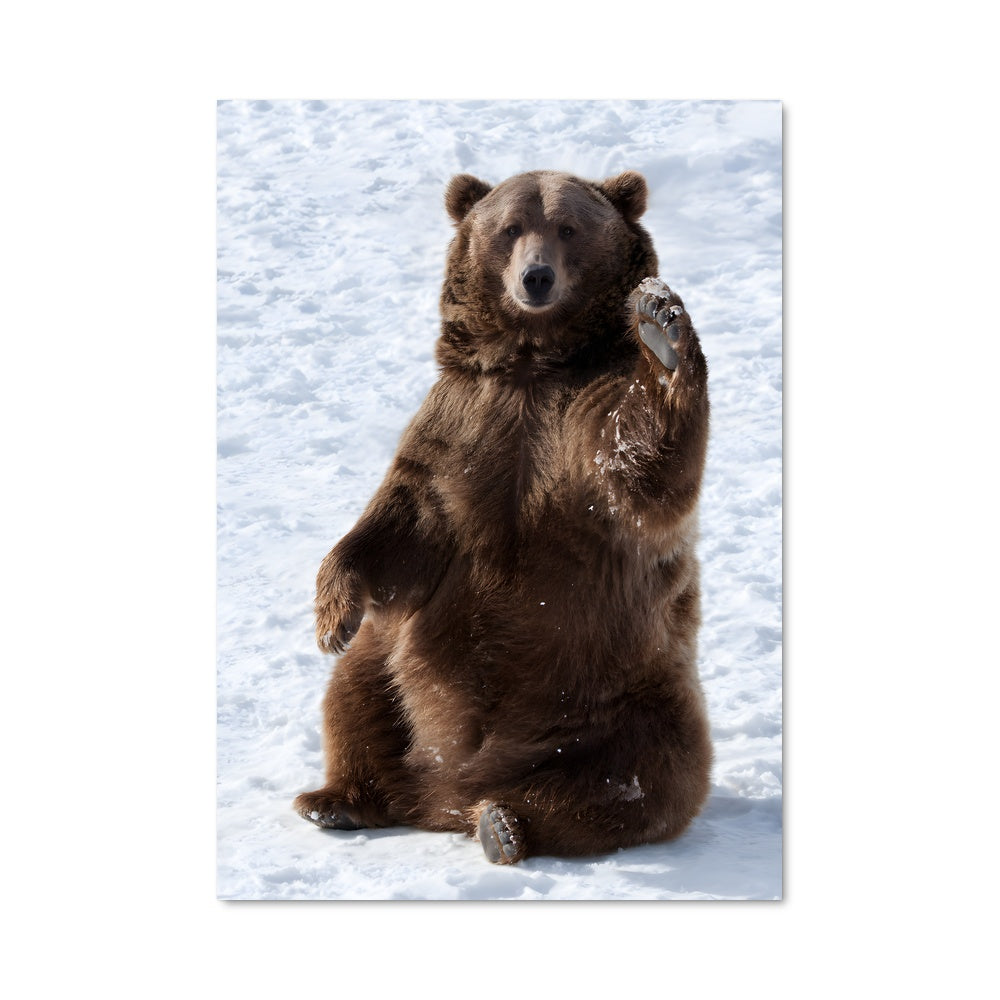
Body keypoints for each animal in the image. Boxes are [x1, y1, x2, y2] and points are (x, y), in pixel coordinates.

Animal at [294, 169, 712, 865]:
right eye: (510, 227)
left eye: (568, 227)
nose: (536, 277)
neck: (531, 362)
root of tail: (446, 793)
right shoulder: (463, 421)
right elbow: (401, 520)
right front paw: (332, 617)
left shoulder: (581, 418)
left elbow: (642, 468)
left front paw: (661, 326)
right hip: (394, 667)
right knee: (356, 696)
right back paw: (338, 798)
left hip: (625, 693)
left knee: (644, 776)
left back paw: (506, 824)